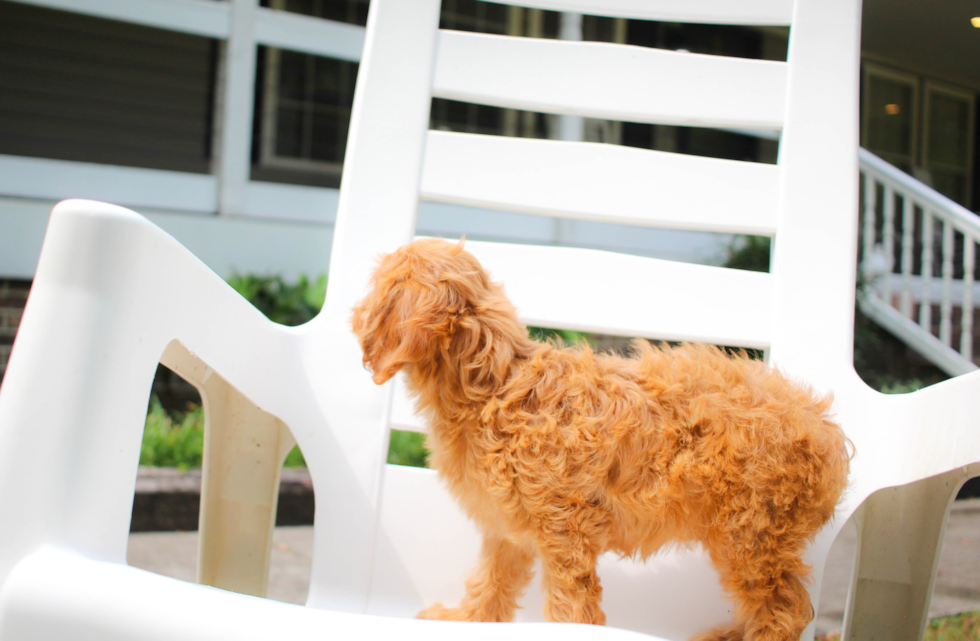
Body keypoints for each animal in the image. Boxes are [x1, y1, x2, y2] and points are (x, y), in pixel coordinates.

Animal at [352, 238, 848, 636]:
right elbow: (491, 582)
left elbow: (569, 607)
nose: (354, 315)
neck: (495, 385)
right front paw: (465, 621)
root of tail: (824, 429)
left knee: (784, 611)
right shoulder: (509, 529)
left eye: (378, 285)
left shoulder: (564, 528)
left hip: (752, 534)